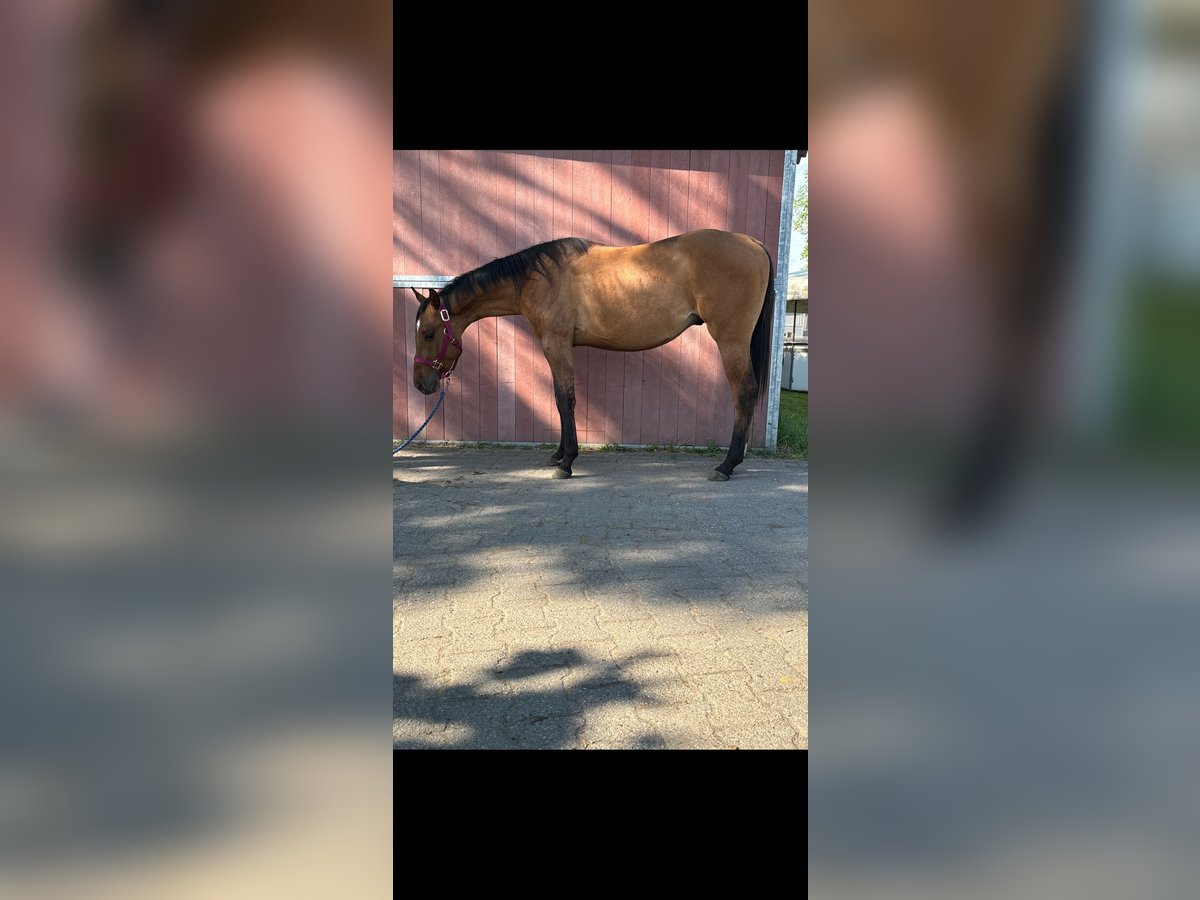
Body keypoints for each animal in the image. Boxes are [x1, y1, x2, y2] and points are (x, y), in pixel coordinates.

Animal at [408, 229, 772, 482]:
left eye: (428, 333)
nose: (421, 383)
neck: (539, 278)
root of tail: (754, 243)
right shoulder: (557, 347)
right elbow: (559, 399)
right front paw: (558, 455)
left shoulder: (556, 344)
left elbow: (565, 398)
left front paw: (567, 462)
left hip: (731, 340)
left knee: (744, 393)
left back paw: (726, 465)